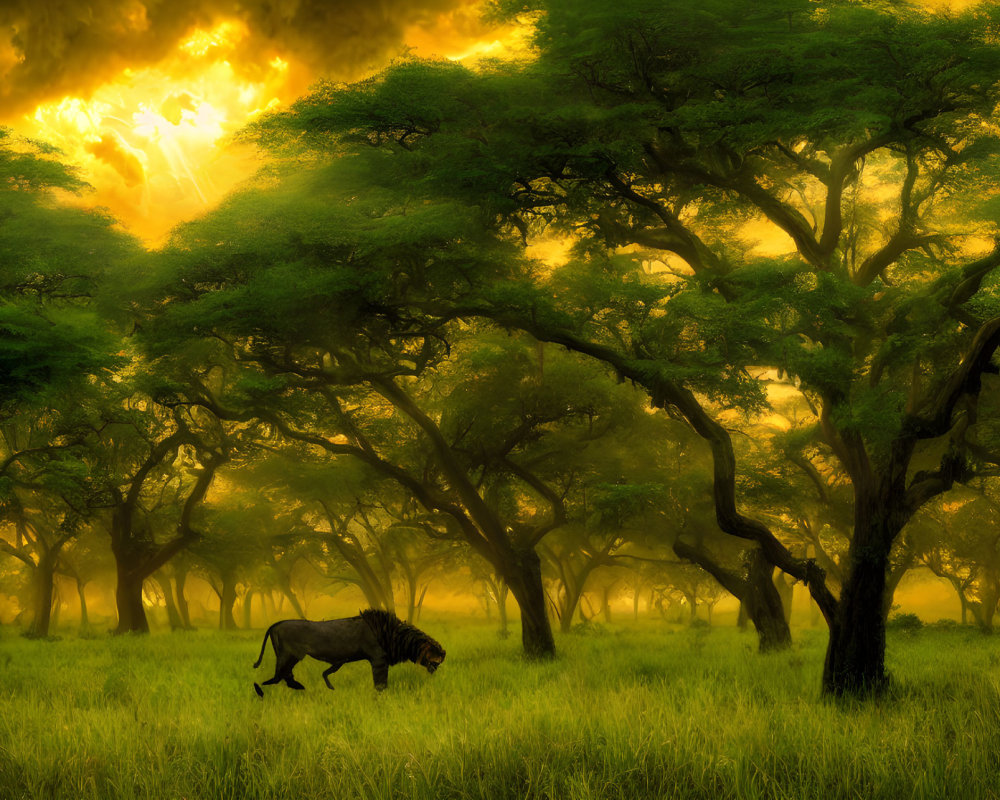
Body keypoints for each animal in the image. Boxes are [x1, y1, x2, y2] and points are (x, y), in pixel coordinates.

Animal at [254, 612, 446, 692]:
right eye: (434, 651)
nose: (444, 653)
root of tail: (276, 623)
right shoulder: (379, 661)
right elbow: (381, 683)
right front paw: (381, 696)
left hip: (290, 656)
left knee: (284, 674)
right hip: (289, 655)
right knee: (279, 675)